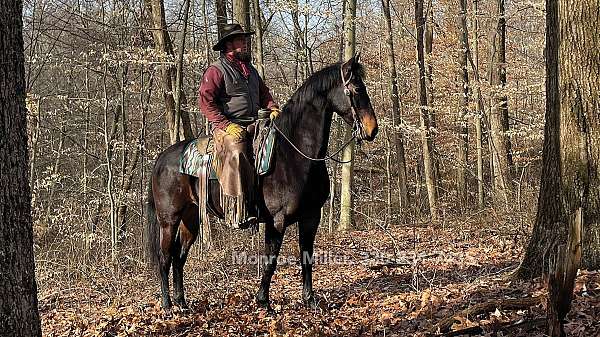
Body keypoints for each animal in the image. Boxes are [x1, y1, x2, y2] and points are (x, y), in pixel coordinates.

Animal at [146, 55, 378, 312]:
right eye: (356, 89)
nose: (372, 129)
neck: (295, 155)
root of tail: (161, 159)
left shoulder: (311, 217)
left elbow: (307, 258)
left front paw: (310, 300)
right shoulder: (277, 220)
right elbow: (270, 260)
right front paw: (263, 301)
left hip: (190, 218)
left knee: (179, 256)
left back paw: (182, 302)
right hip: (169, 219)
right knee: (165, 257)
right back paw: (167, 304)